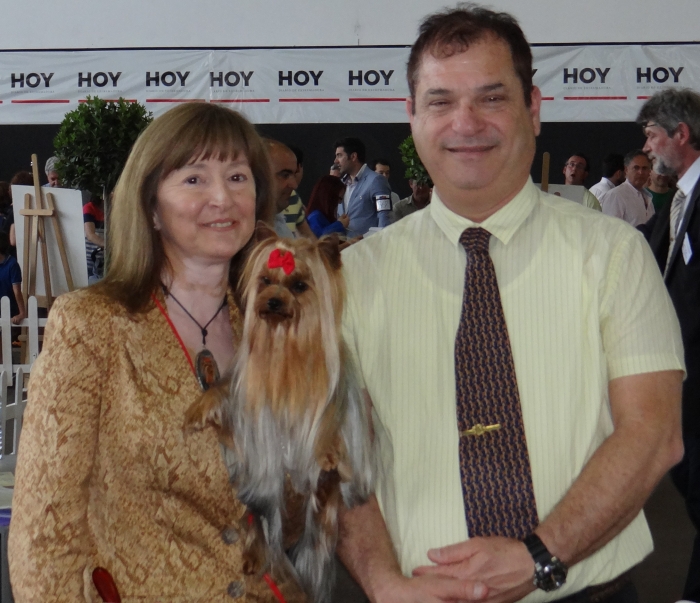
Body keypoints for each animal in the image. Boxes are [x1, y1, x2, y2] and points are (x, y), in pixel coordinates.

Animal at [185, 222, 373, 603]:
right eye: (265, 281)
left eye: (299, 285)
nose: (272, 300)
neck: (285, 343)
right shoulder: (246, 404)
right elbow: (220, 394)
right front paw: (199, 410)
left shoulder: (334, 401)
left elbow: (329, 426)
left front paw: (328, 451)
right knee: (258, 517)